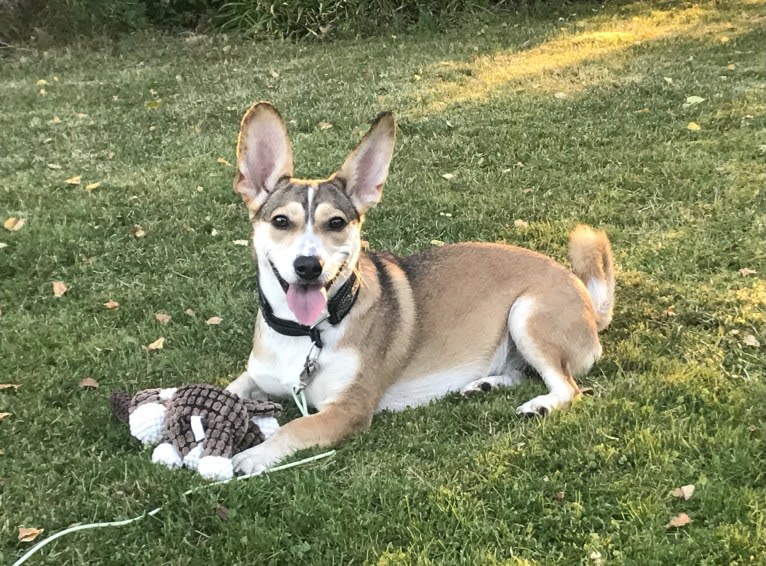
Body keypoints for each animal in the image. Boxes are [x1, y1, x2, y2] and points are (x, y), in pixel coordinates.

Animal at [225, 103, 616, 480]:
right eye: (280, 221)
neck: (306, 333)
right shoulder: (255, 375)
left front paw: (250, 456)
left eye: (336, 223)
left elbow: (294, 428)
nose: (309, 266)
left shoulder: (348, 409)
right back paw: (485, 385)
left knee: (567, 387)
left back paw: (540, 404)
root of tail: (584, 295)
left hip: (527, 315)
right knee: (521, 373)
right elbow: (231, 389)